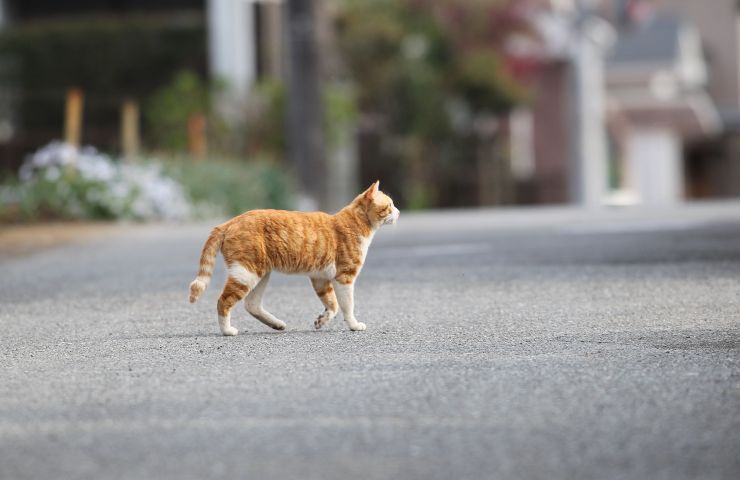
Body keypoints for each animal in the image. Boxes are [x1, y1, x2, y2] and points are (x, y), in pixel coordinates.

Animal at [189, 182, 398, 336]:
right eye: (389, 206)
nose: (398, 212)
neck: (356, 223)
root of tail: (229, 222)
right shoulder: (344, 277)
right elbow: (347, 305)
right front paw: (354, 325)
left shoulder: (320, 278)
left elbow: (332, 305)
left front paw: (321, 321)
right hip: (247, 272)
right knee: (223, 301)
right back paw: (227, 330)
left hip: (261, 273)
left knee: (251, 304)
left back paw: (277, 324)